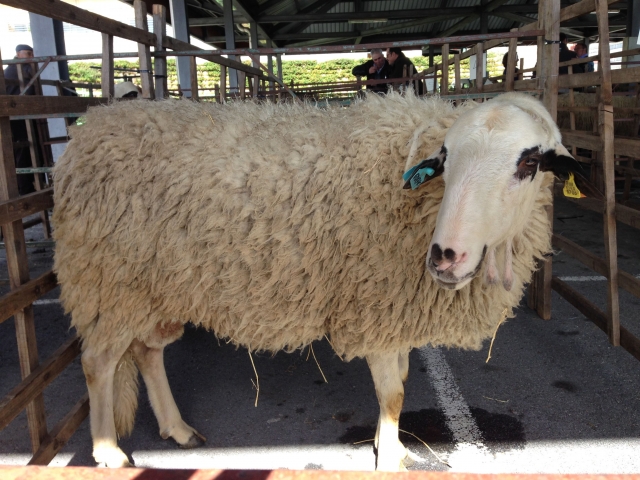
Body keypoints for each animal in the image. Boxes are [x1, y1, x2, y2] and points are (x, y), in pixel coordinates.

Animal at [52, 92, 588, 470]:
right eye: (446, 158)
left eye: (529, 164)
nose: (445, 257)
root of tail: (87, 131)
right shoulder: (375, 306)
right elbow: (393, 393)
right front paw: (391, 459)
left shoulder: (394, 315)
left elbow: (402, 383)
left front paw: (388, 443)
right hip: (108, 280)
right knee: (99, 362)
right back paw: (108, 453)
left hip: (153, 288)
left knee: (147, 352)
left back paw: (176, 428)